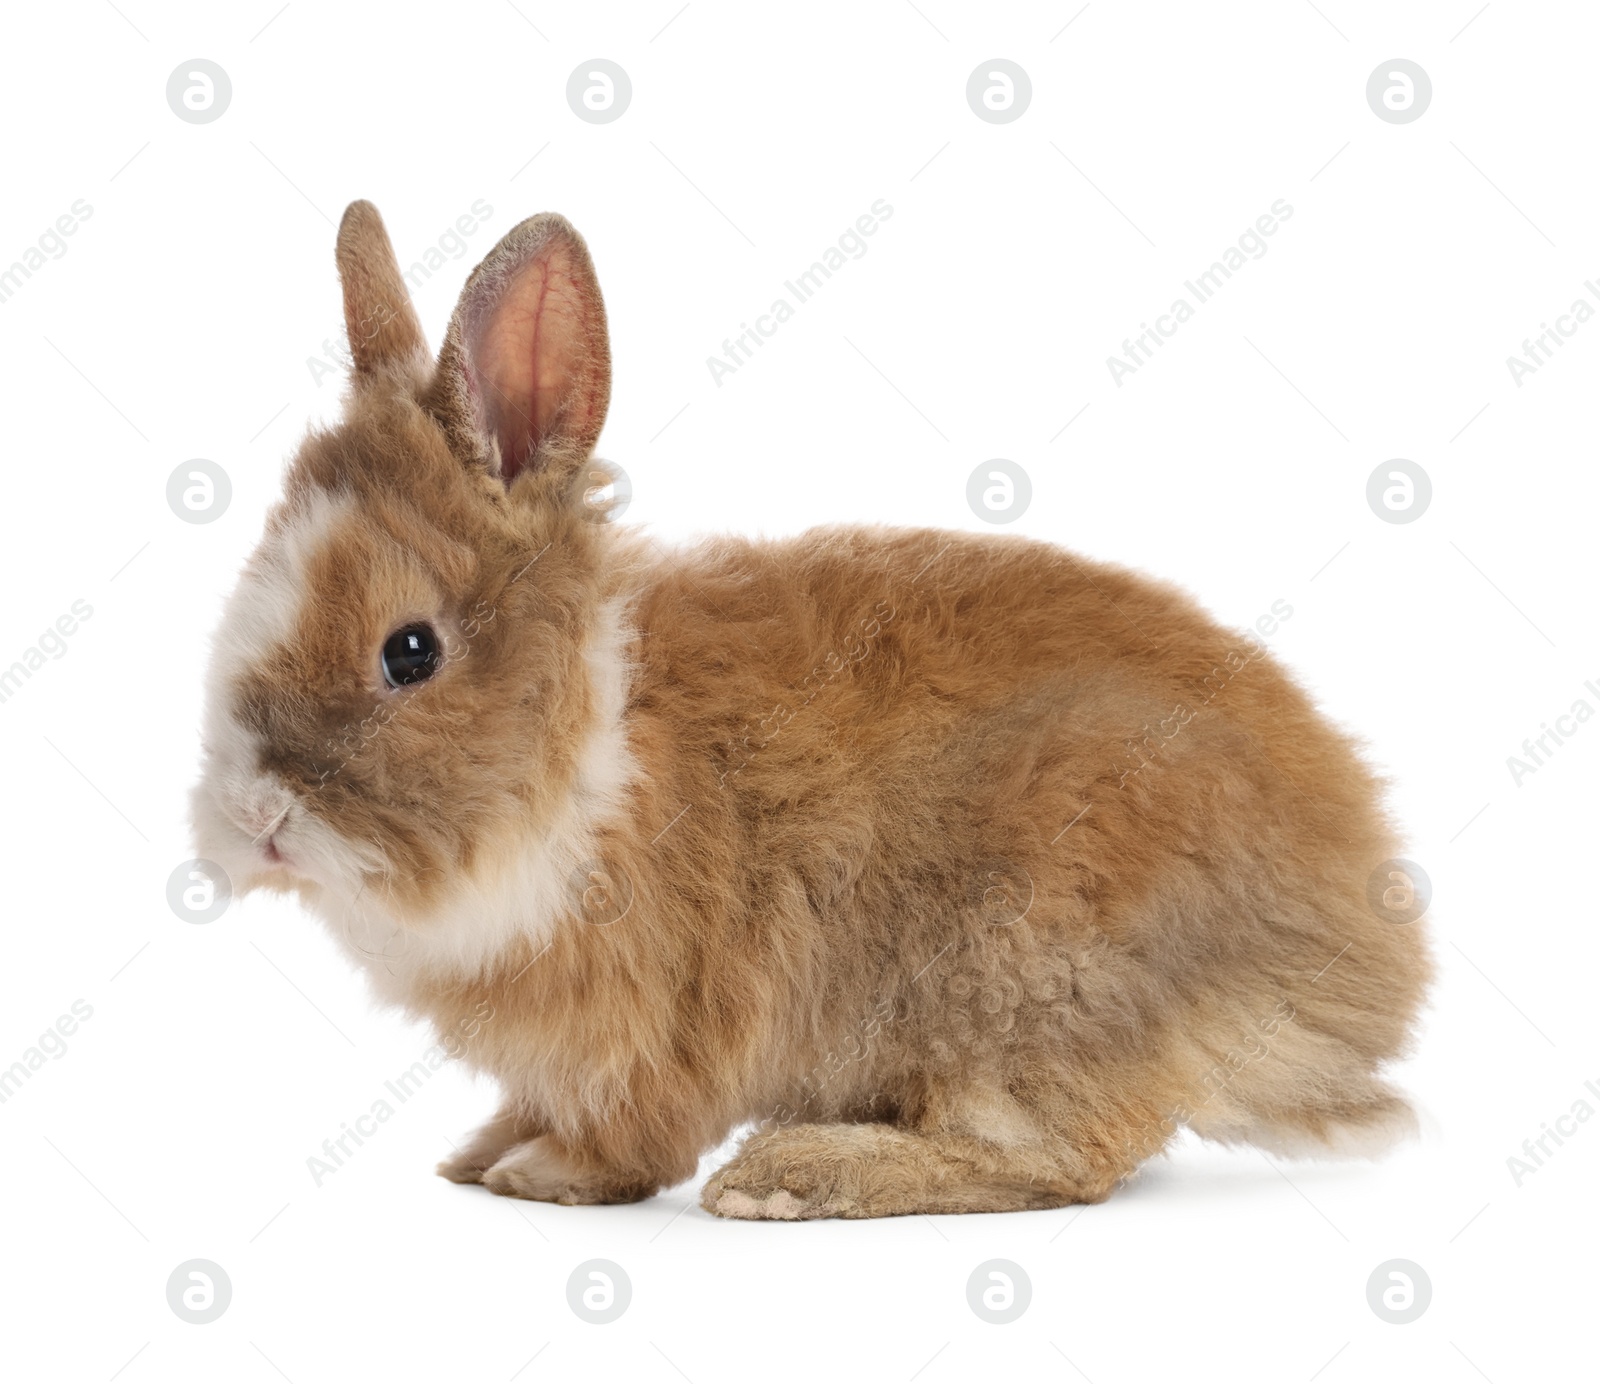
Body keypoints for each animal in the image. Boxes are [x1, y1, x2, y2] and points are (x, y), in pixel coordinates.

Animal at [193, 200, 1433, 1216]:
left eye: (410, 652)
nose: (256, 819)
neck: (596, 741)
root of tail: (1357, 970)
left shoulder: (651, 1026)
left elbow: (630, 1137)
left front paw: (543, 1173)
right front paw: (482, 1152)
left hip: (1029, 966)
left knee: (1058, 1157)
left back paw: (795, 1171)